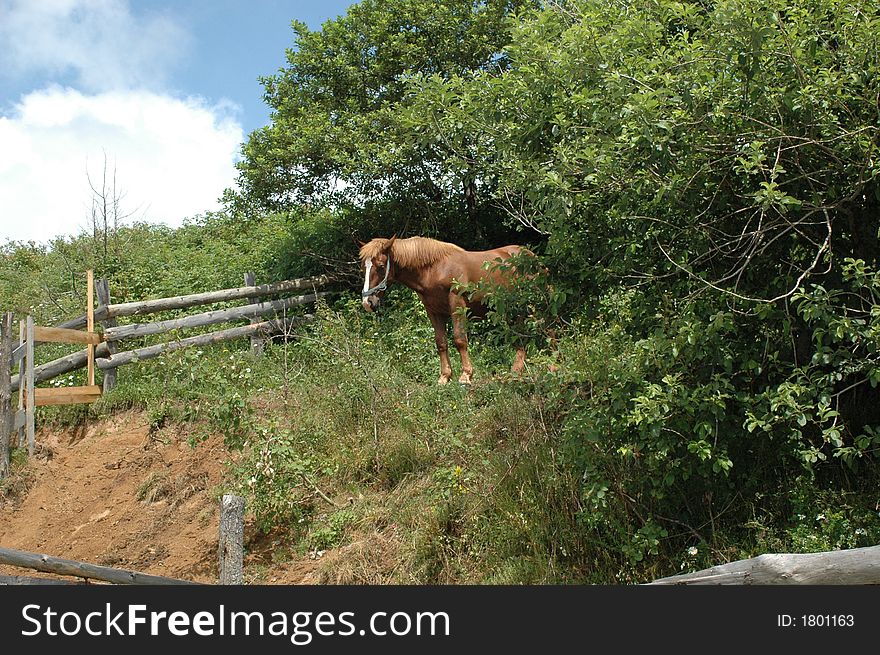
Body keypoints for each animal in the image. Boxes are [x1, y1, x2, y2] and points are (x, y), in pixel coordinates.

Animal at [360, 237, 524, 384]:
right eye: (364, 267)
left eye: (381, 266)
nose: (368, 302)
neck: (435, 269)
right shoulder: (434, 311)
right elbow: (441, 342)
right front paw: (444, 377)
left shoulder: (457, 305)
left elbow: (460, 339)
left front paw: (466, 376)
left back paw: (516, 373)